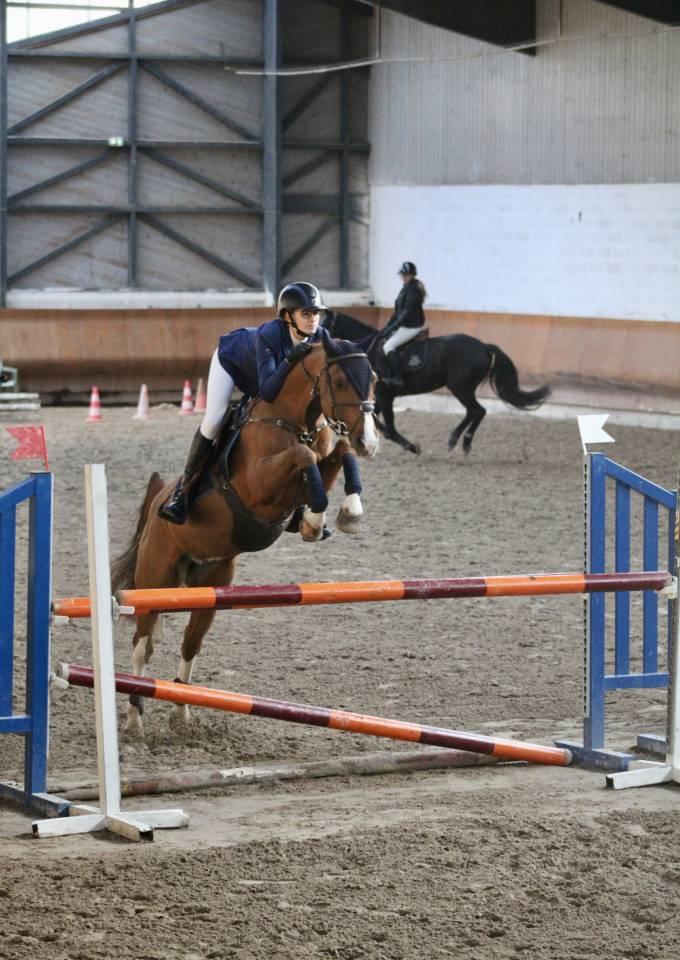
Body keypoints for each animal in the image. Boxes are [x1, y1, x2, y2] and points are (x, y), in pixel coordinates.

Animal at [111, 336, 378, 736]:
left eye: (374, 378)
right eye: (341, 381)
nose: (369, 442)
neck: (294, 419)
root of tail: (159, 494)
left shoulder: (318, 463)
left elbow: (335, 454)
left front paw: (341, 514)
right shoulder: (261, 486)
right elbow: (303, 455)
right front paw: (318, 517)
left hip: (212, 586)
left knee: (191, 644)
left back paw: (181, 714)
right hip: (155, 580)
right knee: (142, 645)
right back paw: (133, 719)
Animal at [324, 312, 550, 455]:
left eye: (324, 325)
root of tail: (484, 347)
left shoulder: (383, 395)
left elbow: (387, 426)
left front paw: (412, 447)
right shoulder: (377, 398)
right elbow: (377, 422)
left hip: (460, 387)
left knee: (477, 410)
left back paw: (459, 440)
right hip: (462, 388)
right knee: (476, 411)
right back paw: (459, 440)